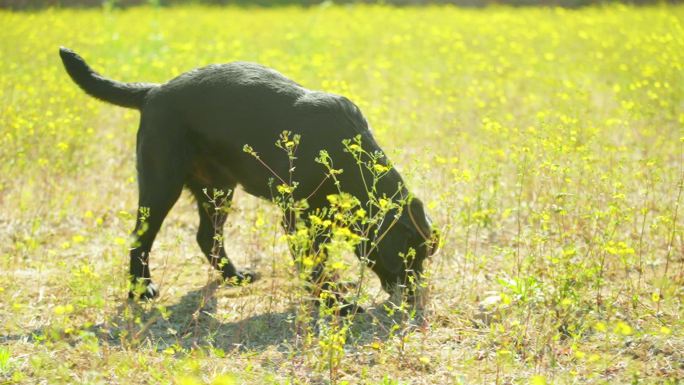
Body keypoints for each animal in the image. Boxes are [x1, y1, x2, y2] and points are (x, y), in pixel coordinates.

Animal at [58, 46, 438, 308]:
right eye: (409, 259)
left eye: (423, 258)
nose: (415, 299)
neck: (343, 153)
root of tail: (153, 91)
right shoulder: (296, 214)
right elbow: (313, 262)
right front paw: (335, 303)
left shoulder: (320, 216)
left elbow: (320, 258)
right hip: (161, 183)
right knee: (141, 238)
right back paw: (141, 288)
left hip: (219, 188)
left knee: (205, 236)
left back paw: (235, 276)